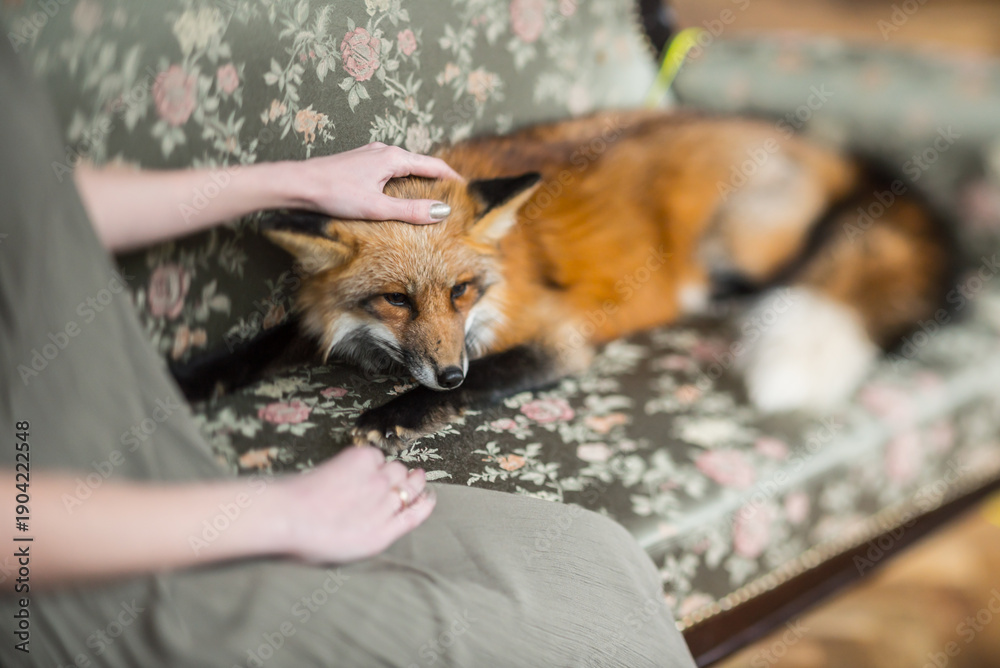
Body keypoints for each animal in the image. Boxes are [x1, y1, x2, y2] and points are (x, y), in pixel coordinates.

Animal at [172, 109, 958, 452]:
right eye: (394, 300)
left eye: (462, 291)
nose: (448, 375)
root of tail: (824, 147)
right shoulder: (319, 319)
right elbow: (264, 345)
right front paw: (190, 380)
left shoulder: (561, 339)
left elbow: (494, 373)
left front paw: (400, 411)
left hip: (731, 243)